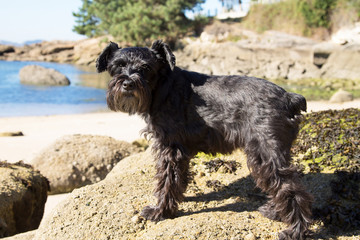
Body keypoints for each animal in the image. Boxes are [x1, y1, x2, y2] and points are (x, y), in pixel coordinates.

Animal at [97, 40, 314, 239]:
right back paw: (275, 211)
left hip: (265, 152)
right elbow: (178, 178)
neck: (163, 87)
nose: (128, 84)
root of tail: (289, 98)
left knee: (290, 188)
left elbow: (167, 180)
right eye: (118, 65)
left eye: (146, 68)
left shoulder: (170, 148)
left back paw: (295, 230)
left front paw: (161, 211)